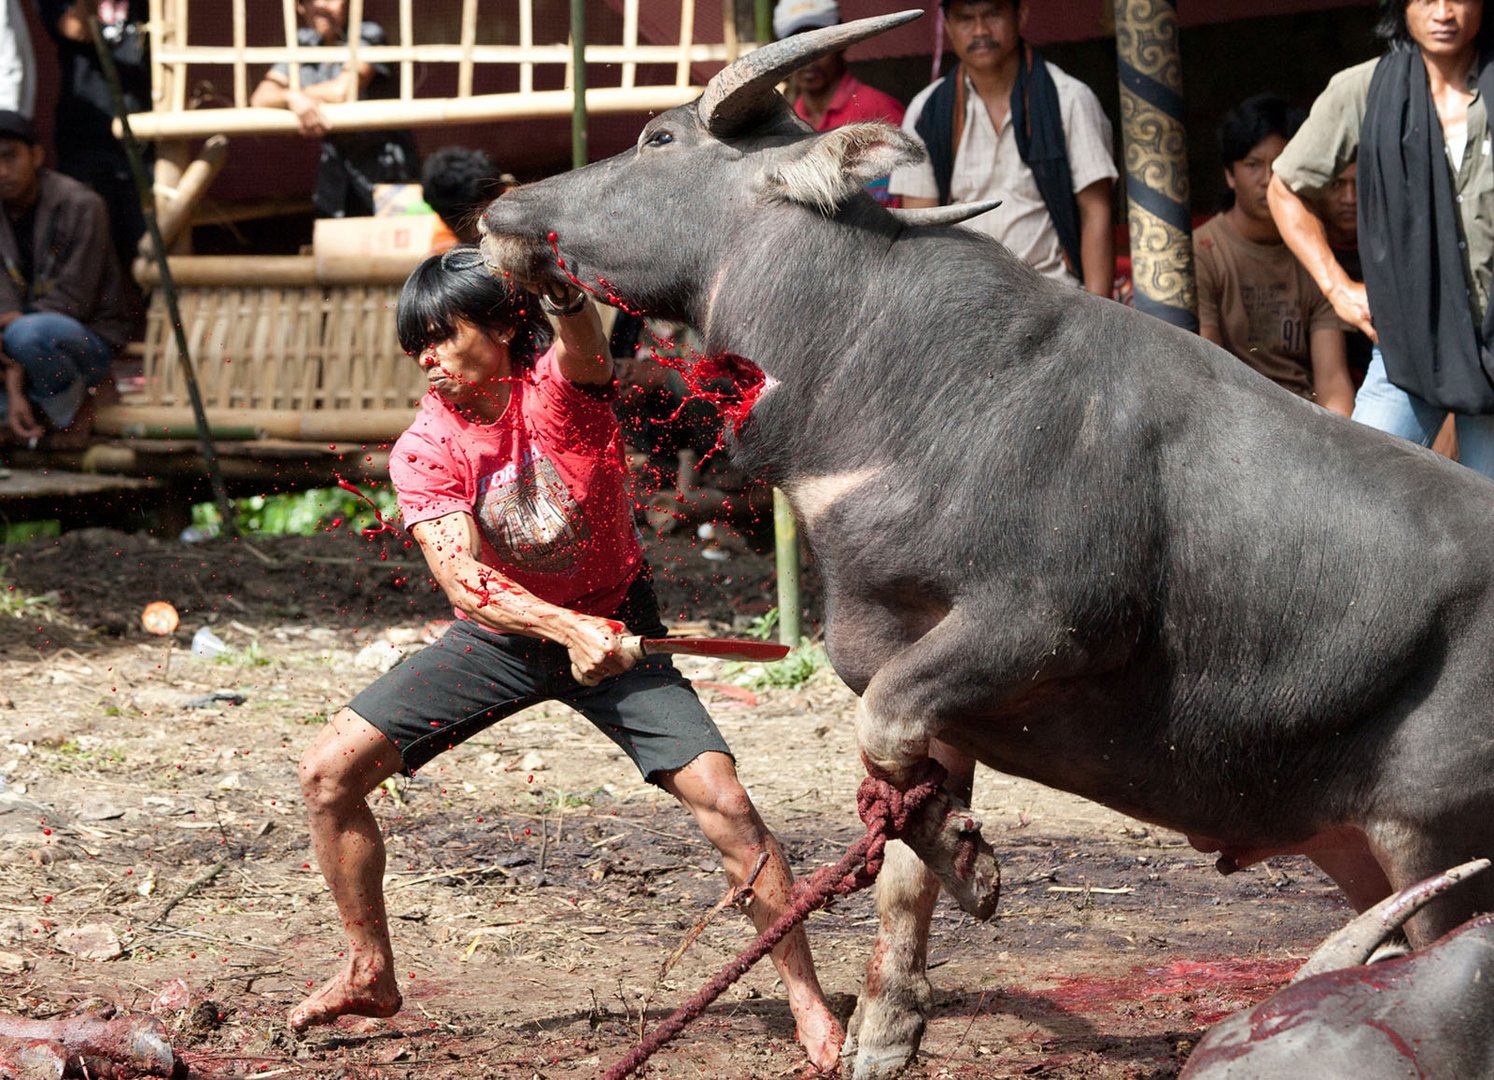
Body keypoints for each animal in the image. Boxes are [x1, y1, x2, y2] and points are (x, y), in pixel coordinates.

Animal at [481, 12, 1494, 1075]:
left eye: (658, 139)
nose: (506, 209)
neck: (913, 388)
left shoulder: (1046, 625)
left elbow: (884, 731)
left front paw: (971, 866)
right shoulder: (922, 668)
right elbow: (895, 846)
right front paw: (890, 1020)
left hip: (1434, 839)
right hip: (1364, 849)